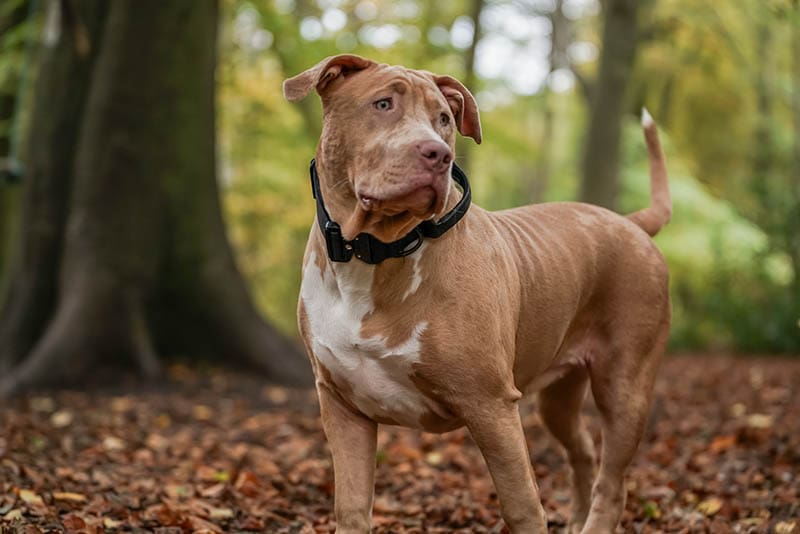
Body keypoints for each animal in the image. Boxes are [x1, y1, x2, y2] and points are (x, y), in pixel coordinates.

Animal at [284, 55, 672, 534]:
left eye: (444, 120)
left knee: (612, 482)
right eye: (383, 103)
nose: (439, 153)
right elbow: (352, 507)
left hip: (625, 386)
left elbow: (523, 506)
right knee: (582, 452)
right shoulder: (341, 406)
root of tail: (629, 222)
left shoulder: (491, 405)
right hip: (559, 396)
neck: (372, 253)